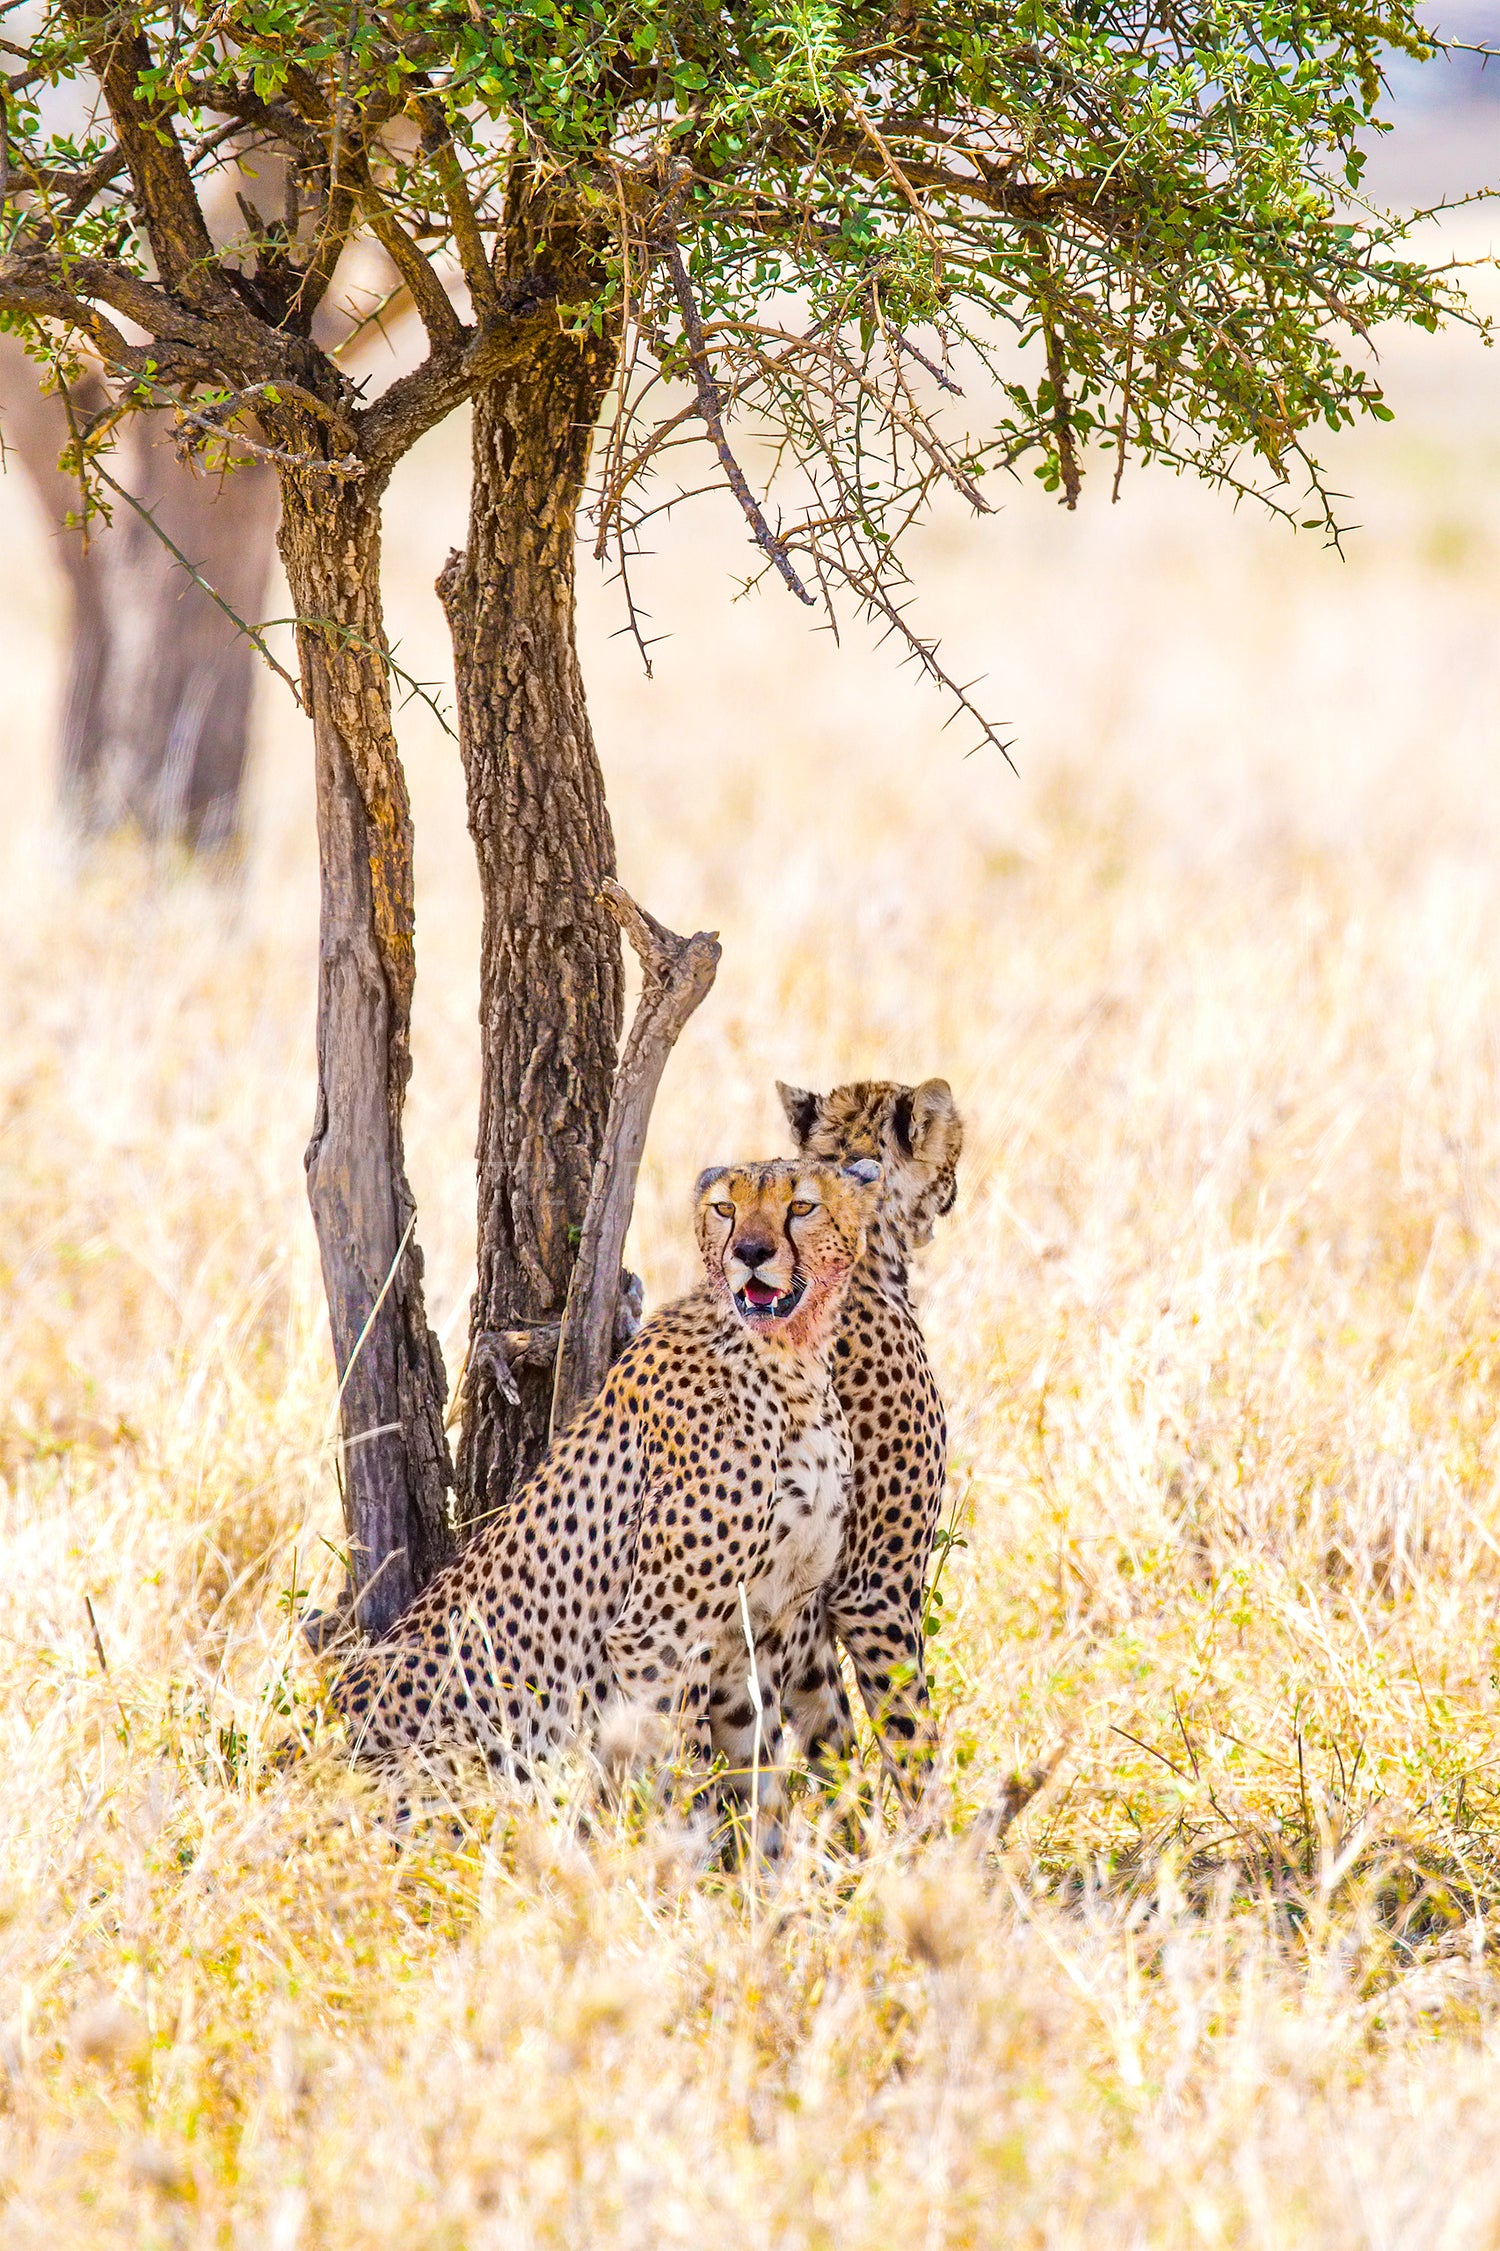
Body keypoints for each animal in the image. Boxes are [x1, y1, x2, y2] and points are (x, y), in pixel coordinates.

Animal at [331, 1152, 878, 1818]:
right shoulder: (658, 1637)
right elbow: (680, 1771)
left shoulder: (759, 1630)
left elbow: (759, 1775)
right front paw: (674, 1844)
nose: (749, 1252)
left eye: (802, 1206)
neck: (790, 1364)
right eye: (726, 1208)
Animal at [770, 1071, 959, 1791]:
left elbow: (832, 1754)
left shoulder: (809, 1610)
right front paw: (943, 1824)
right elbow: (911, 1737)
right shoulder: (873, 1587)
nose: (955, 1188)